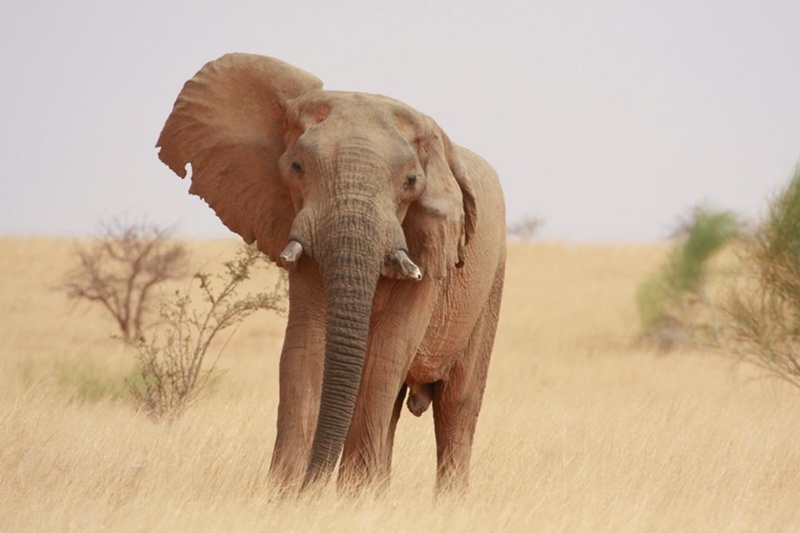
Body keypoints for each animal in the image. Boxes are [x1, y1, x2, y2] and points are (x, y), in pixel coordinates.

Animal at [156, 53, 506, 494]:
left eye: (411, 182)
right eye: (297, 167)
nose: (313, 482)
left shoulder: (432, 245)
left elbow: (387, 351)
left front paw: (352, 497)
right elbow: (305, 346)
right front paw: (287, 493)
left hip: (491, 283)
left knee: (457, 404)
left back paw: (447, 500)